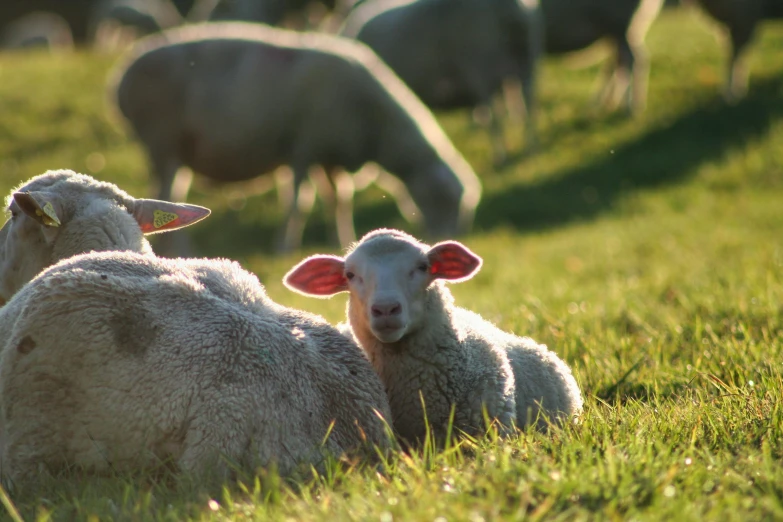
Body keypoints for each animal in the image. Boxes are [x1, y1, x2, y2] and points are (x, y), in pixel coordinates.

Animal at [108, 21, 478, 253]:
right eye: (445, 200)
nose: (447, 240)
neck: (377, 124)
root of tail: (120, 80)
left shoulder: (330, 155)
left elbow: (339, 200)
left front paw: (344, 239)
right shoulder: (305, 149)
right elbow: (299, 203)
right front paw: (286, 245)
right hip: (162, 140)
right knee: (167, 193)